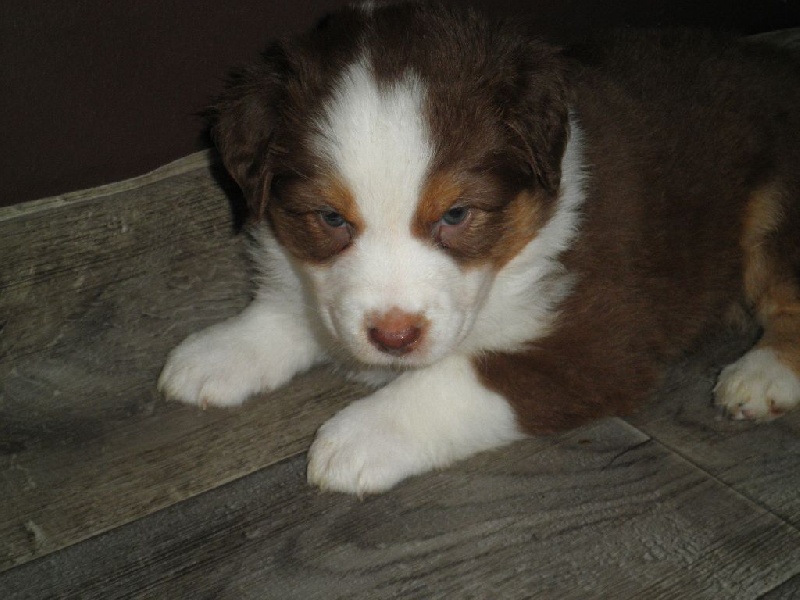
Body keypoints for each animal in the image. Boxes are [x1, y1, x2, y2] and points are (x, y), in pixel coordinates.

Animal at [159, 2, 800, 495]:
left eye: (456, 215)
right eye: (331, 218)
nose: (394, 336)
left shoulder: (602, 337)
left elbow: (461, 376)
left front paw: (356, 438)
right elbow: (302, 307)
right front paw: (218, 353)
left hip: (775, 206)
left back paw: (760, 376)